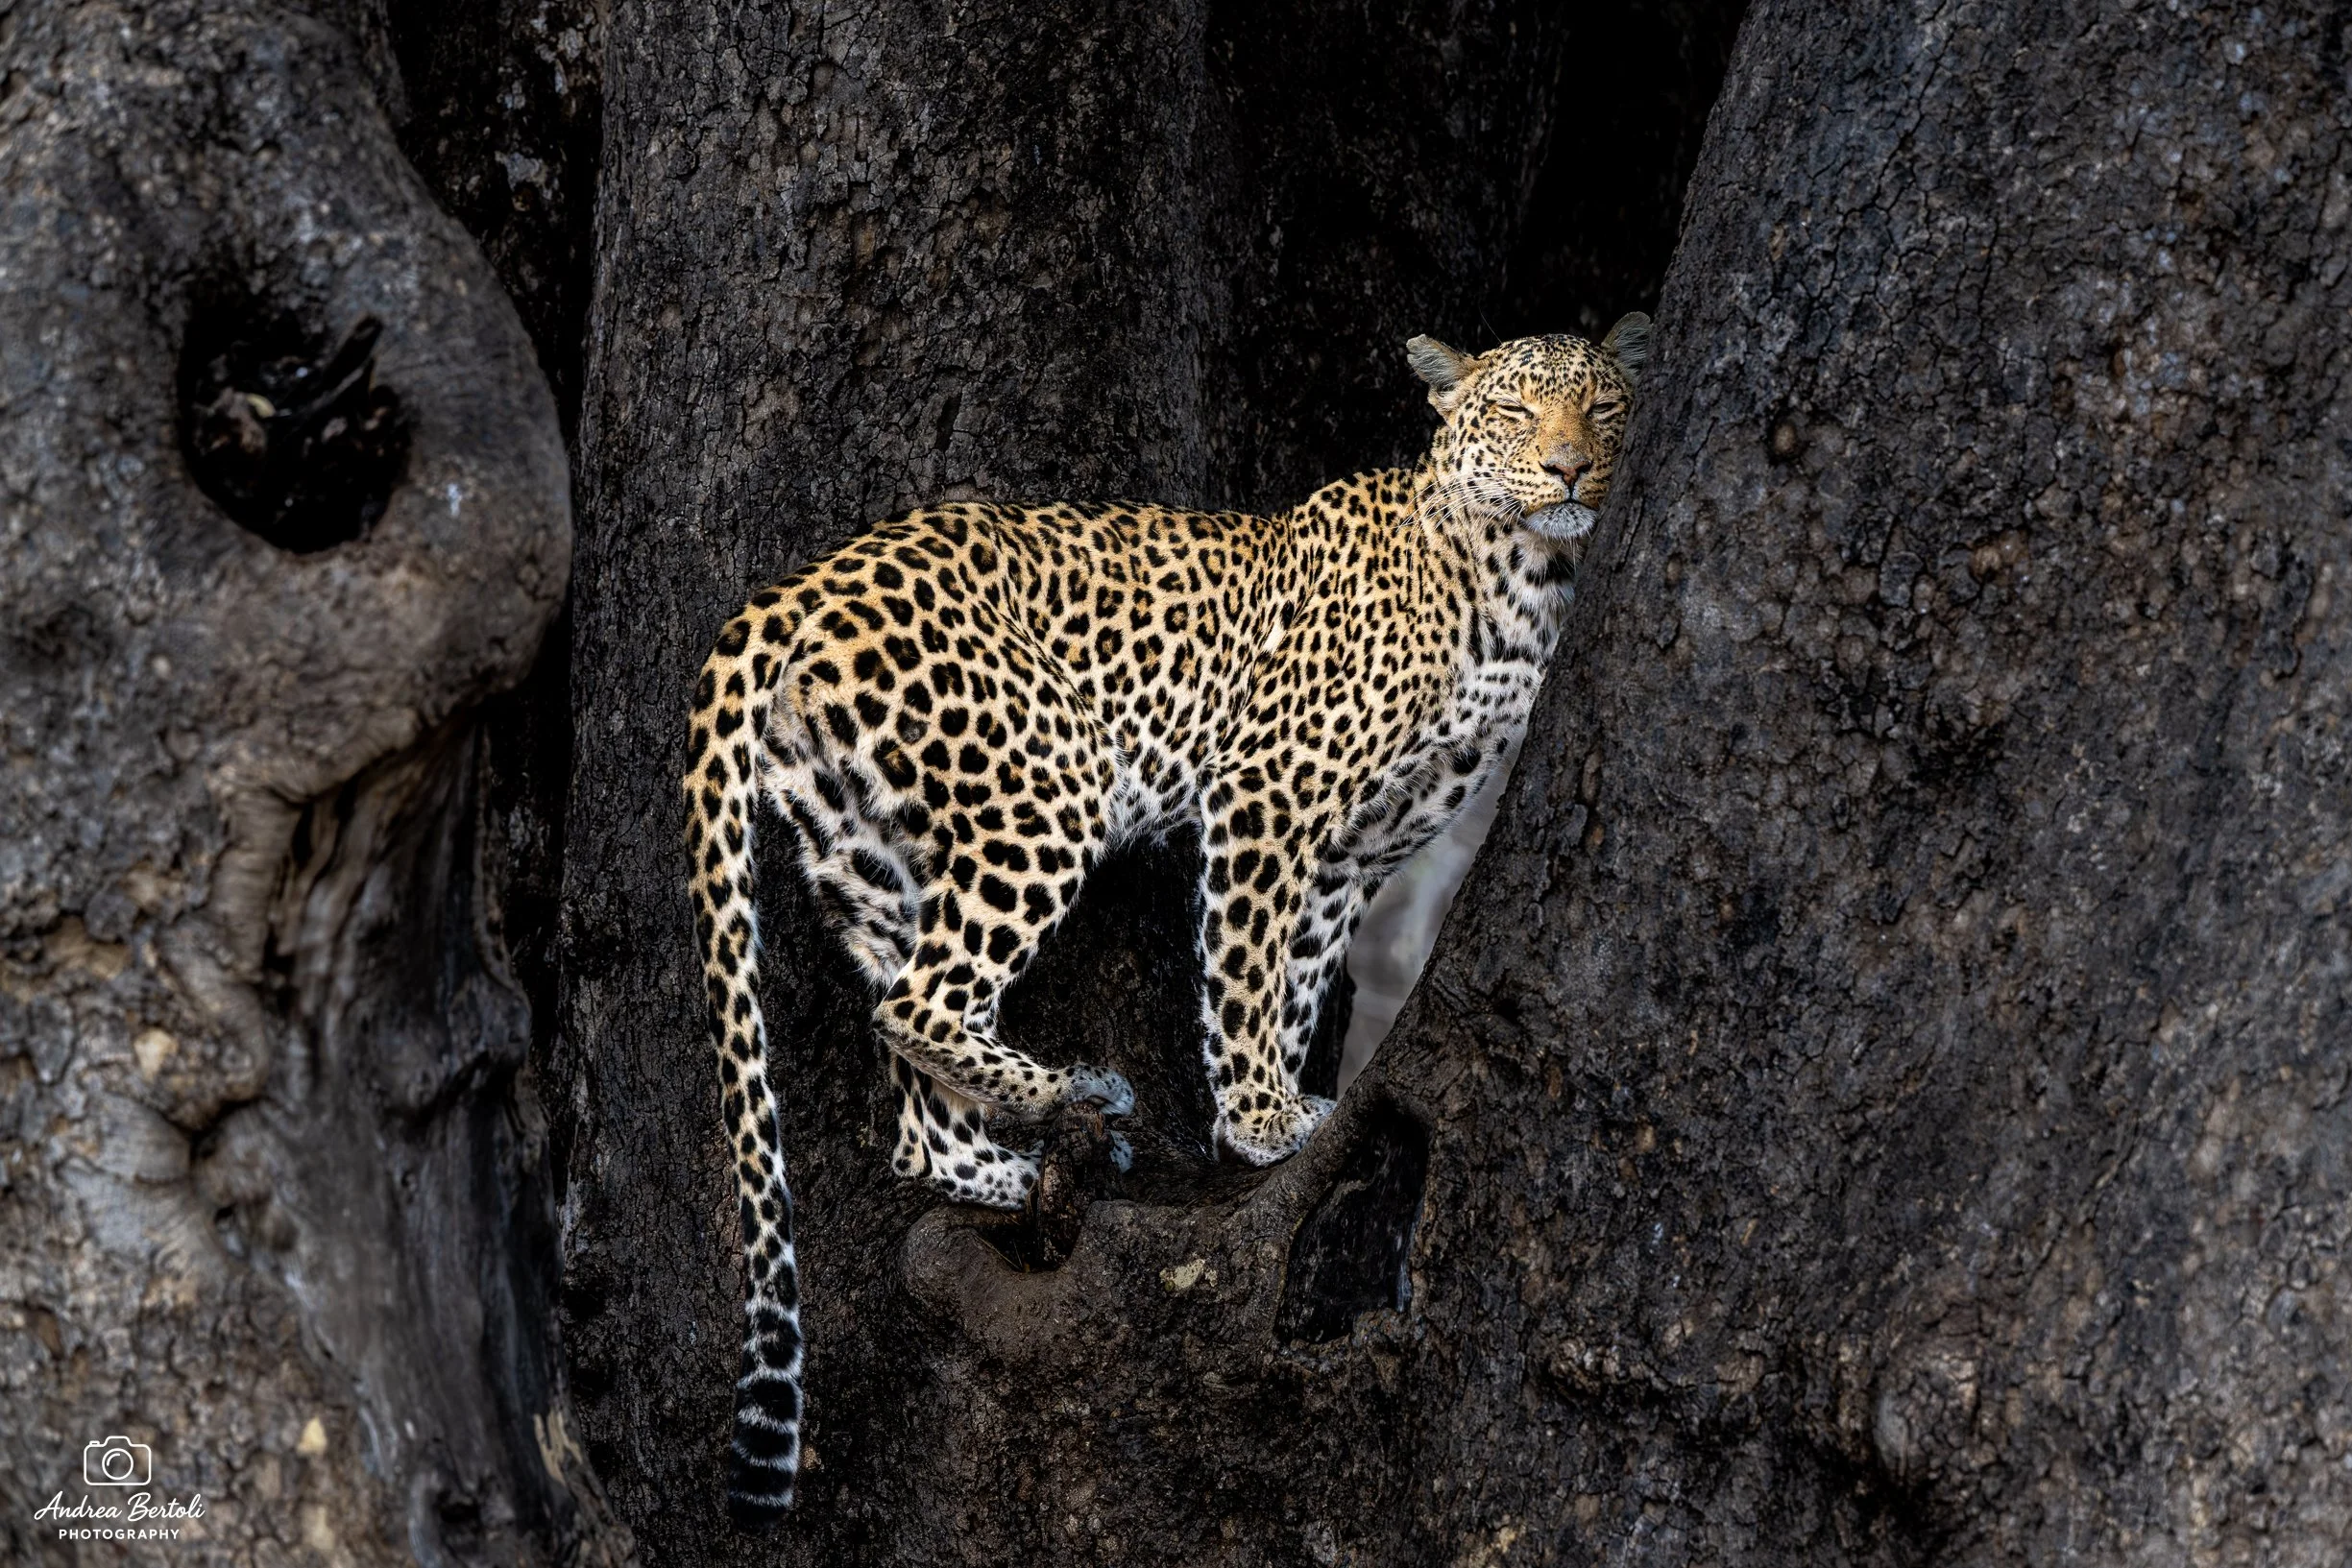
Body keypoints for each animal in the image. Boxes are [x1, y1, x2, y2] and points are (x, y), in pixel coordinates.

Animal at [685, 316, 1649, 1524]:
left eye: (1601, 407)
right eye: (1517, 411)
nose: (1569, 468)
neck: (1521, 578)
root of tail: (798, 583)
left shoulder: (1353, 852)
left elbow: (1297, 974)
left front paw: (1281, 1109)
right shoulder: (1269, 791)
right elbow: (1242, 968)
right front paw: (1260, 1121)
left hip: (862, 846)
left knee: (905, 1064)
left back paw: (1002, 1166)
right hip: (1047, 786)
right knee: (921, 1001)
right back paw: (1078, 1094)